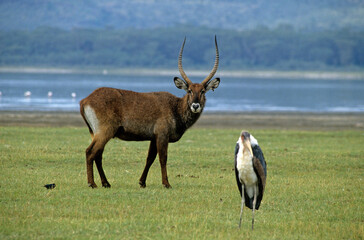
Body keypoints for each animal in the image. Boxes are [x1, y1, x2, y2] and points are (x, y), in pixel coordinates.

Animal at [80, 36, 220, 188]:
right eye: (189, 90)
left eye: (202, 91)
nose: (195, 105)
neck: (175, 107)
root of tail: (85, 100)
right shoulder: (162, 136)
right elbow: (163, 158)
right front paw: (166, 183)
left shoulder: (154, 137)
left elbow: (150, 158)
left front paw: (142, 182)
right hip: (105, 131)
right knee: (90, 152)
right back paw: (92, 183)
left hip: (97, 133)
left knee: (98, 154)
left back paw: (106, 183)